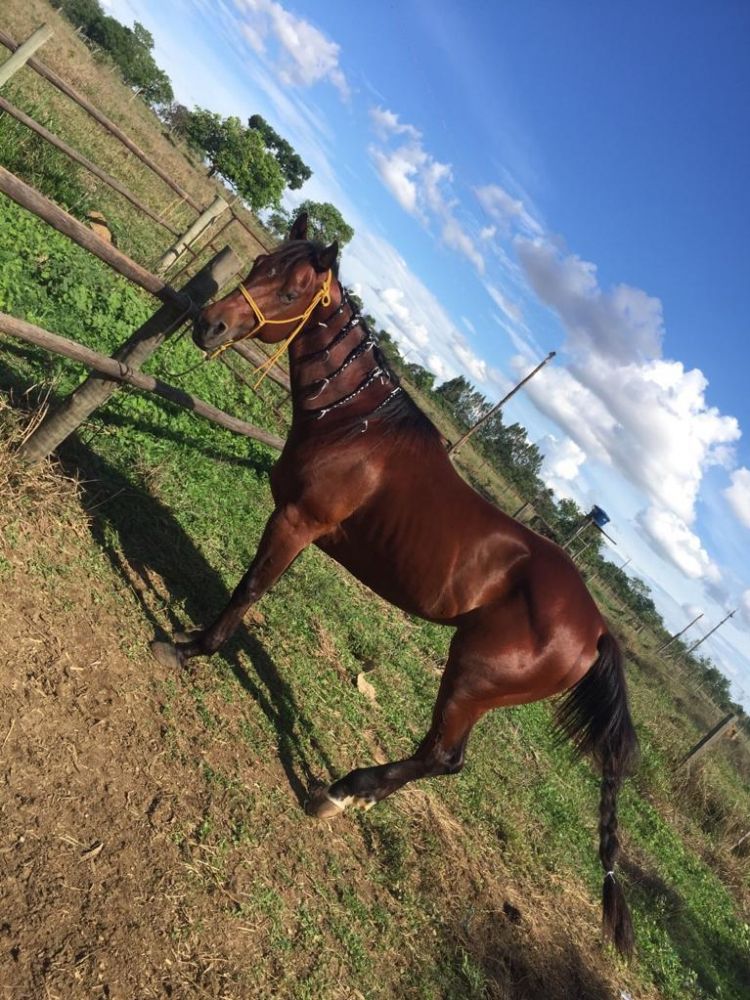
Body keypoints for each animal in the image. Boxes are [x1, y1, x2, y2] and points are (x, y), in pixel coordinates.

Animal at [150, 213, 638, 956]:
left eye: (293, 287)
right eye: (260, 265)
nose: (211, 324)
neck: (358, 429)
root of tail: (598, 629)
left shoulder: (296, 523)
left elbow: (249, 591)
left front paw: (187, 646)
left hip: (471, 677)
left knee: (444, 756)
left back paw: (336, 792)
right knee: (438, 759)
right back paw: (356, 796)